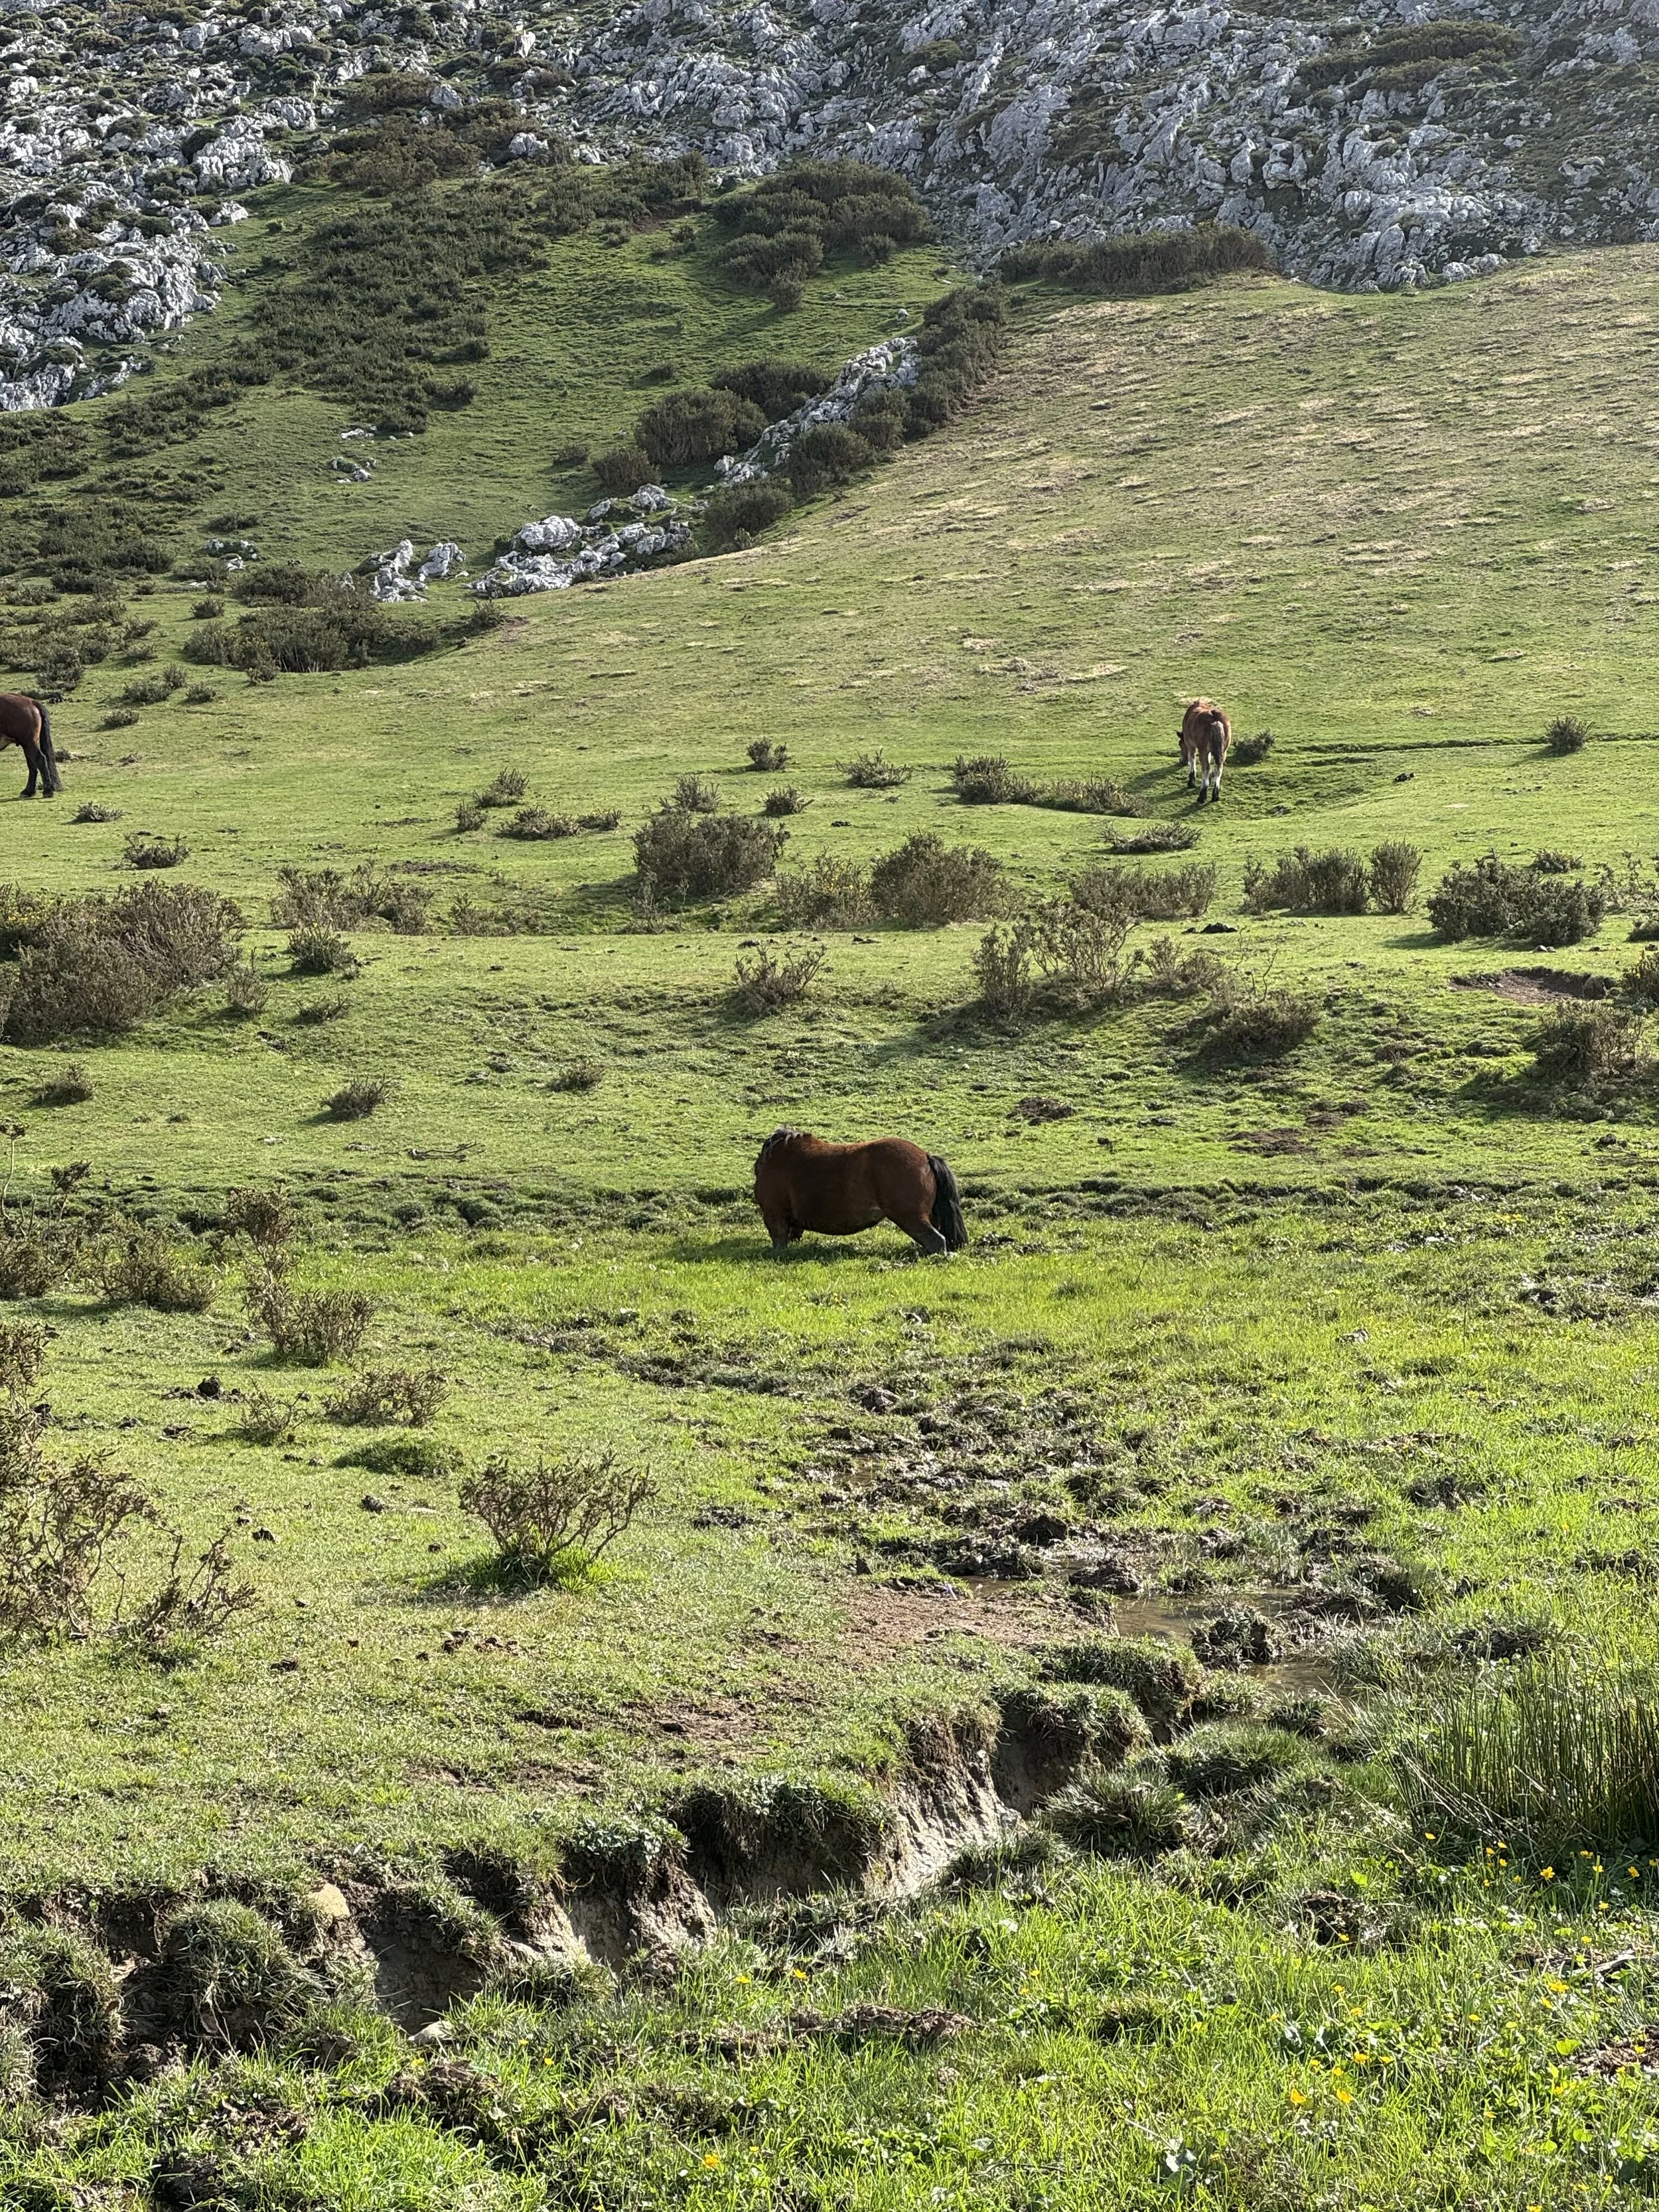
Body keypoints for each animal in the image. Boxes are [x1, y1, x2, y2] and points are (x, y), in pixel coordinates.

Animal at [0, 694, 62, 798]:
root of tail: (32, 702)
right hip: (28, 746)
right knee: (32, 766)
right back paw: (29, 791)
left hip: (29, 744)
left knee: (41, 760)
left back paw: (48, 791)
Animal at [1177, 697, 1230, 804]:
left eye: (1180, 744)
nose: (1181, 761)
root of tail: (1216, 720)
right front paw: (1209, 780)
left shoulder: (1191, 746)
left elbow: (1192, 761)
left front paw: (1191, 782)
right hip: (1224, 751)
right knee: (1218, 769)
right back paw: (1215, 795)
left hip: (1203, 751)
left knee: (1206, 768)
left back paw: (1202, 796)